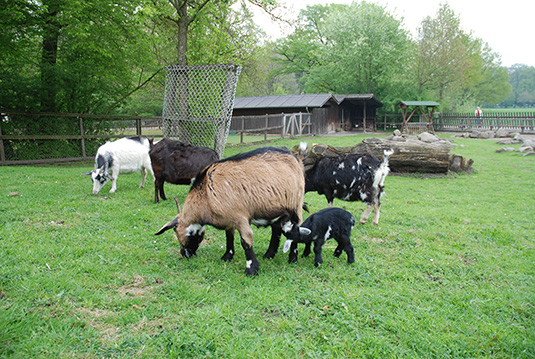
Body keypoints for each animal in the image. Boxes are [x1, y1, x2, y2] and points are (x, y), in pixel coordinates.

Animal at [155, 145, 306, 278]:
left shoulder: (240, 218)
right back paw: (269, 255)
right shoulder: (229, 219)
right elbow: (229, 236)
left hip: (296, 204)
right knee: (276, 229)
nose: (185, 254)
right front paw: (227, 256)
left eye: (177, 232)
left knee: (295, 230)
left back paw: (292, 258)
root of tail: (294, 157)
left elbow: (246, 242)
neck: (206, 194)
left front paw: (251, 269)